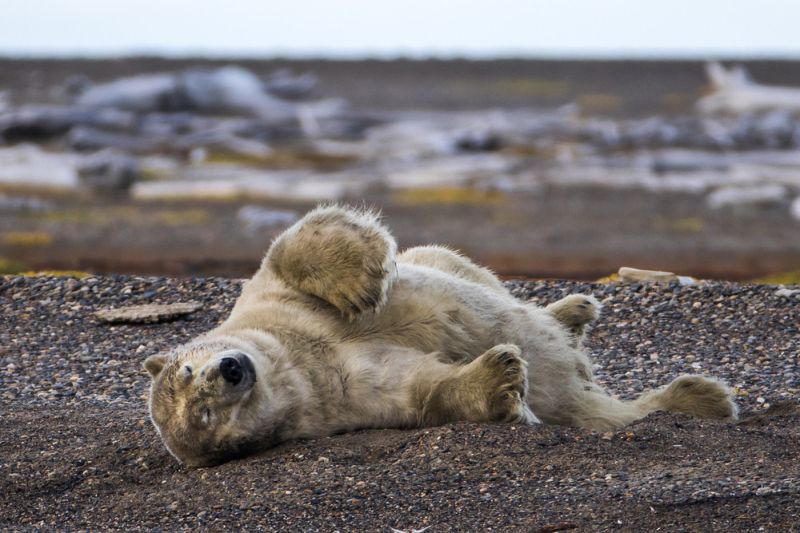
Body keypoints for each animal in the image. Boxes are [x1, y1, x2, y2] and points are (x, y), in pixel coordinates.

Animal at [145, 204, 736, 466]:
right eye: (204, 417)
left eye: (188, 368)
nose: (231, 370)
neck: (294, 359)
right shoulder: (343, 397)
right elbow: (421, 389)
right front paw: (500, 378)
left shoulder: (267, 308)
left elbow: (290, 251)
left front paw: (360, 284)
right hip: (587, 409)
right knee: (610, 411)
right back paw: (703, 398)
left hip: (447, 261)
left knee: (456, 263)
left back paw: (573, 310)